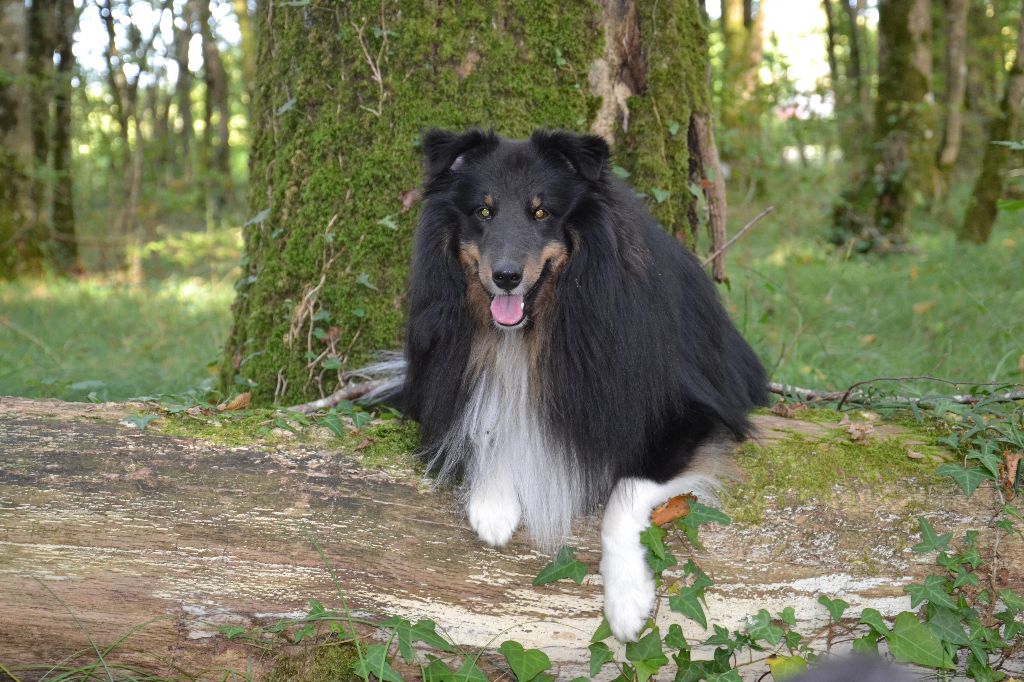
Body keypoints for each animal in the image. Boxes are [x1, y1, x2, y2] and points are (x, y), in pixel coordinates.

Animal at [387, 125, 765, 638]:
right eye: (483, 211)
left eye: (541, 211)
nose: (506, 277)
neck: (533, 332)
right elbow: (483, 422)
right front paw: (493, 502)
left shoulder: (689, 416)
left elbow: (625, 492)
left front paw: (627, 600)